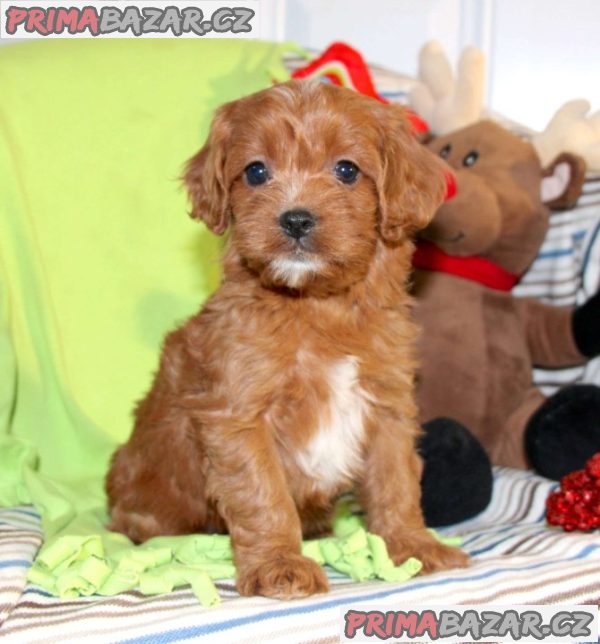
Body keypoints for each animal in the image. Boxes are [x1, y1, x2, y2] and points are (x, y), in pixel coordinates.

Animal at [105, 79, 466, 600]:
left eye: (346, 169)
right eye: (256, 171)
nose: (295, 219)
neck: (316, 307)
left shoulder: (388, 405)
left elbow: (395, 480)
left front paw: (411, 544)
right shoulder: (238, 415)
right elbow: (264, 495)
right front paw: (279, 565)